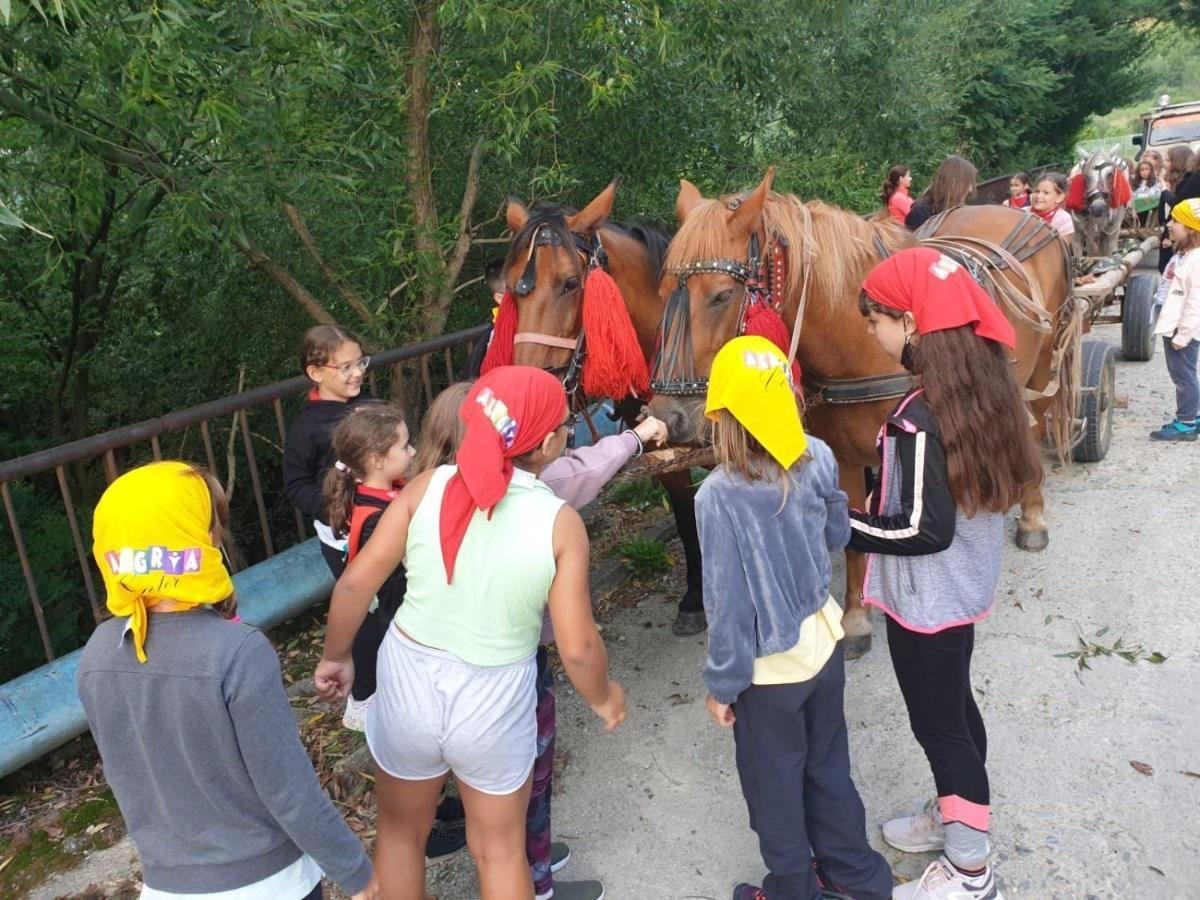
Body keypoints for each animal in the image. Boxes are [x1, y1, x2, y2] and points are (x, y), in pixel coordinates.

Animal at [499, 183, 705, 633]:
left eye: (570, 283)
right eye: (513, 288)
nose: (531, 389)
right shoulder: (667, 450)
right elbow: (686, 515)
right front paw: (695, 599)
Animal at [652, 169, 1084, 657]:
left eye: (722, 296)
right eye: (663, 293)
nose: (669, 416)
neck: (863, 345)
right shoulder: (844, 459)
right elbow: (852, 537)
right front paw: (856, 617)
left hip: (1043, 365)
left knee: (1035, 428)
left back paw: (1032, 513)